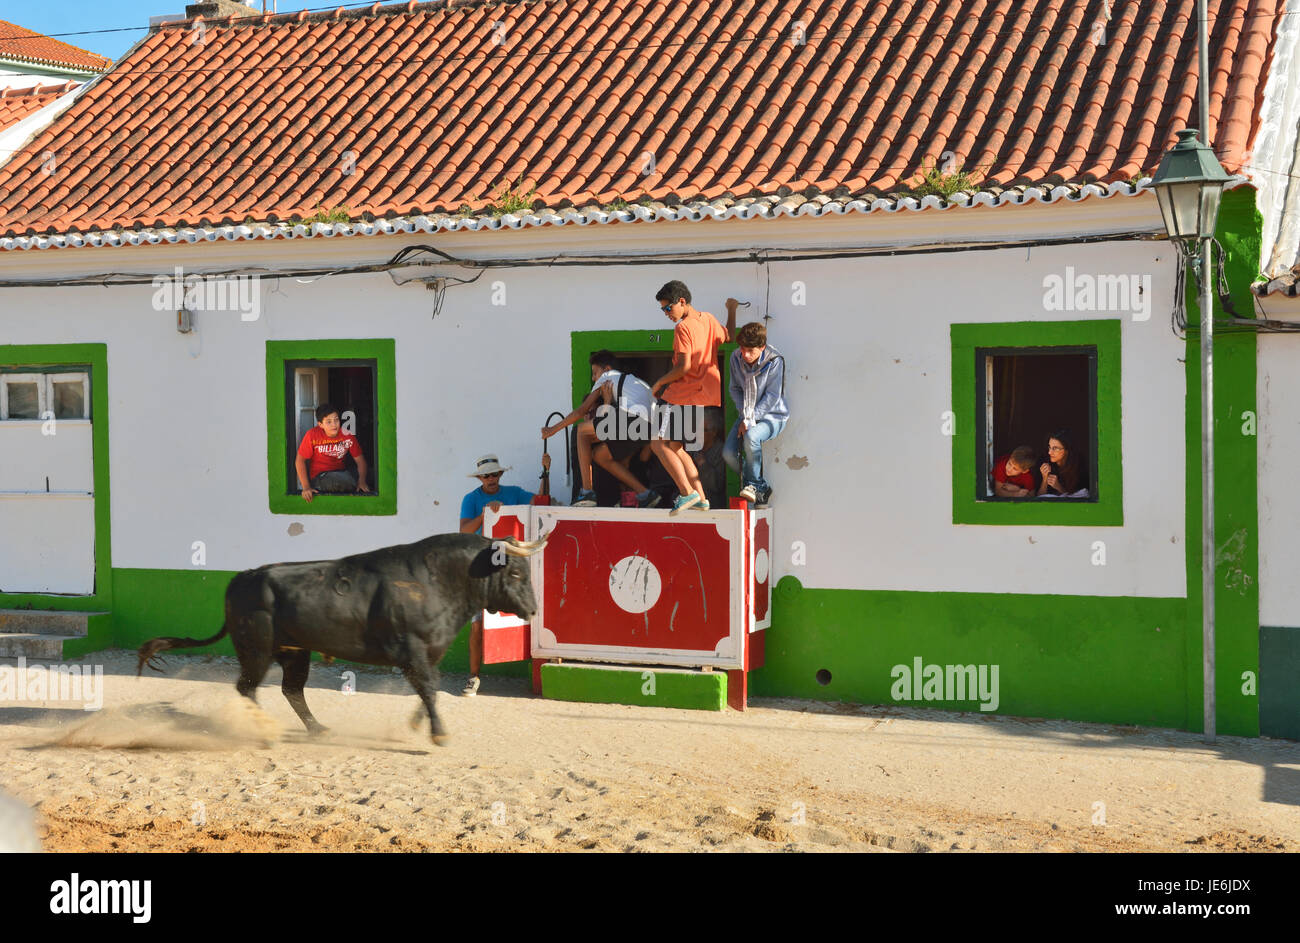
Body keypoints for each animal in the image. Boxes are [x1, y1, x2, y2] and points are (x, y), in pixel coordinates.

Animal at [139, 530, 546, 743]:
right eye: (514, 573)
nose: (532, 610)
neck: (439, 579)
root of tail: (243, 577)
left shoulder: (431, 651)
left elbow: (431, 687)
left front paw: (419, 724)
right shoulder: (412, 650)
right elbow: (429, 688)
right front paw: (438, 734)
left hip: (294, 651)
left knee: (291, 689)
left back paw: (318, 729)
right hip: (256, 650)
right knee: (248, 688)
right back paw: (261, 731)